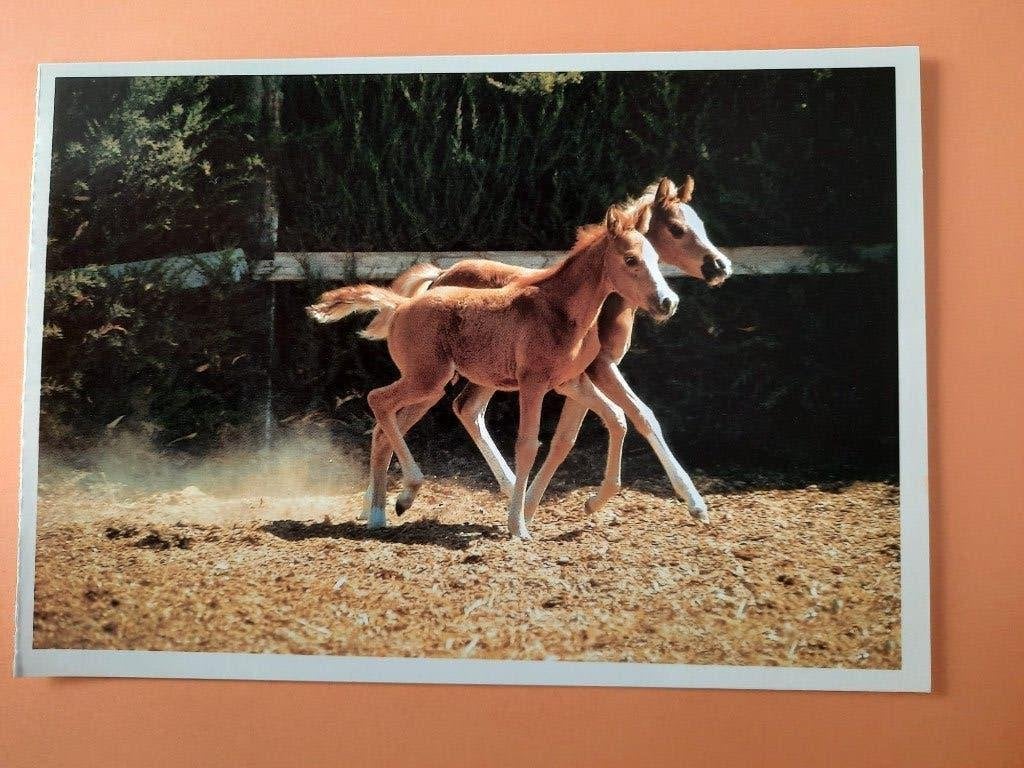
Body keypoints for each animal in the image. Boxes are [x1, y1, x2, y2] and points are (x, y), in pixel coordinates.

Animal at [307, 202, 676, 539]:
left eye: (656, 259)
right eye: (631, 260)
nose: (667, 302)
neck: (559, 310)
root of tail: (400, 305)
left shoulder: (569, 382)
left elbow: (617, 418)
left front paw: (591, 502)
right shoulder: (533, 384)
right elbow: (527, 445)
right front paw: (518, 526)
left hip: (430, 385)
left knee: (385, 427)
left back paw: (382, 512)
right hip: (425, 380)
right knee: (377, 400)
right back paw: (403, 494)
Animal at [373, 176, 732, 523]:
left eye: (700, 223)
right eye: (677, 229)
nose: (720, 266)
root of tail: (439, 275)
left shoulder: (575, 377)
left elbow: (586, 430)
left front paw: (552, 505)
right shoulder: (598, 369)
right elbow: (634, 418)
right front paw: (694, 503)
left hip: (477, 376)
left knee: (462, 411)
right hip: (437, 377)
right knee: (392, 417)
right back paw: (387, 504)